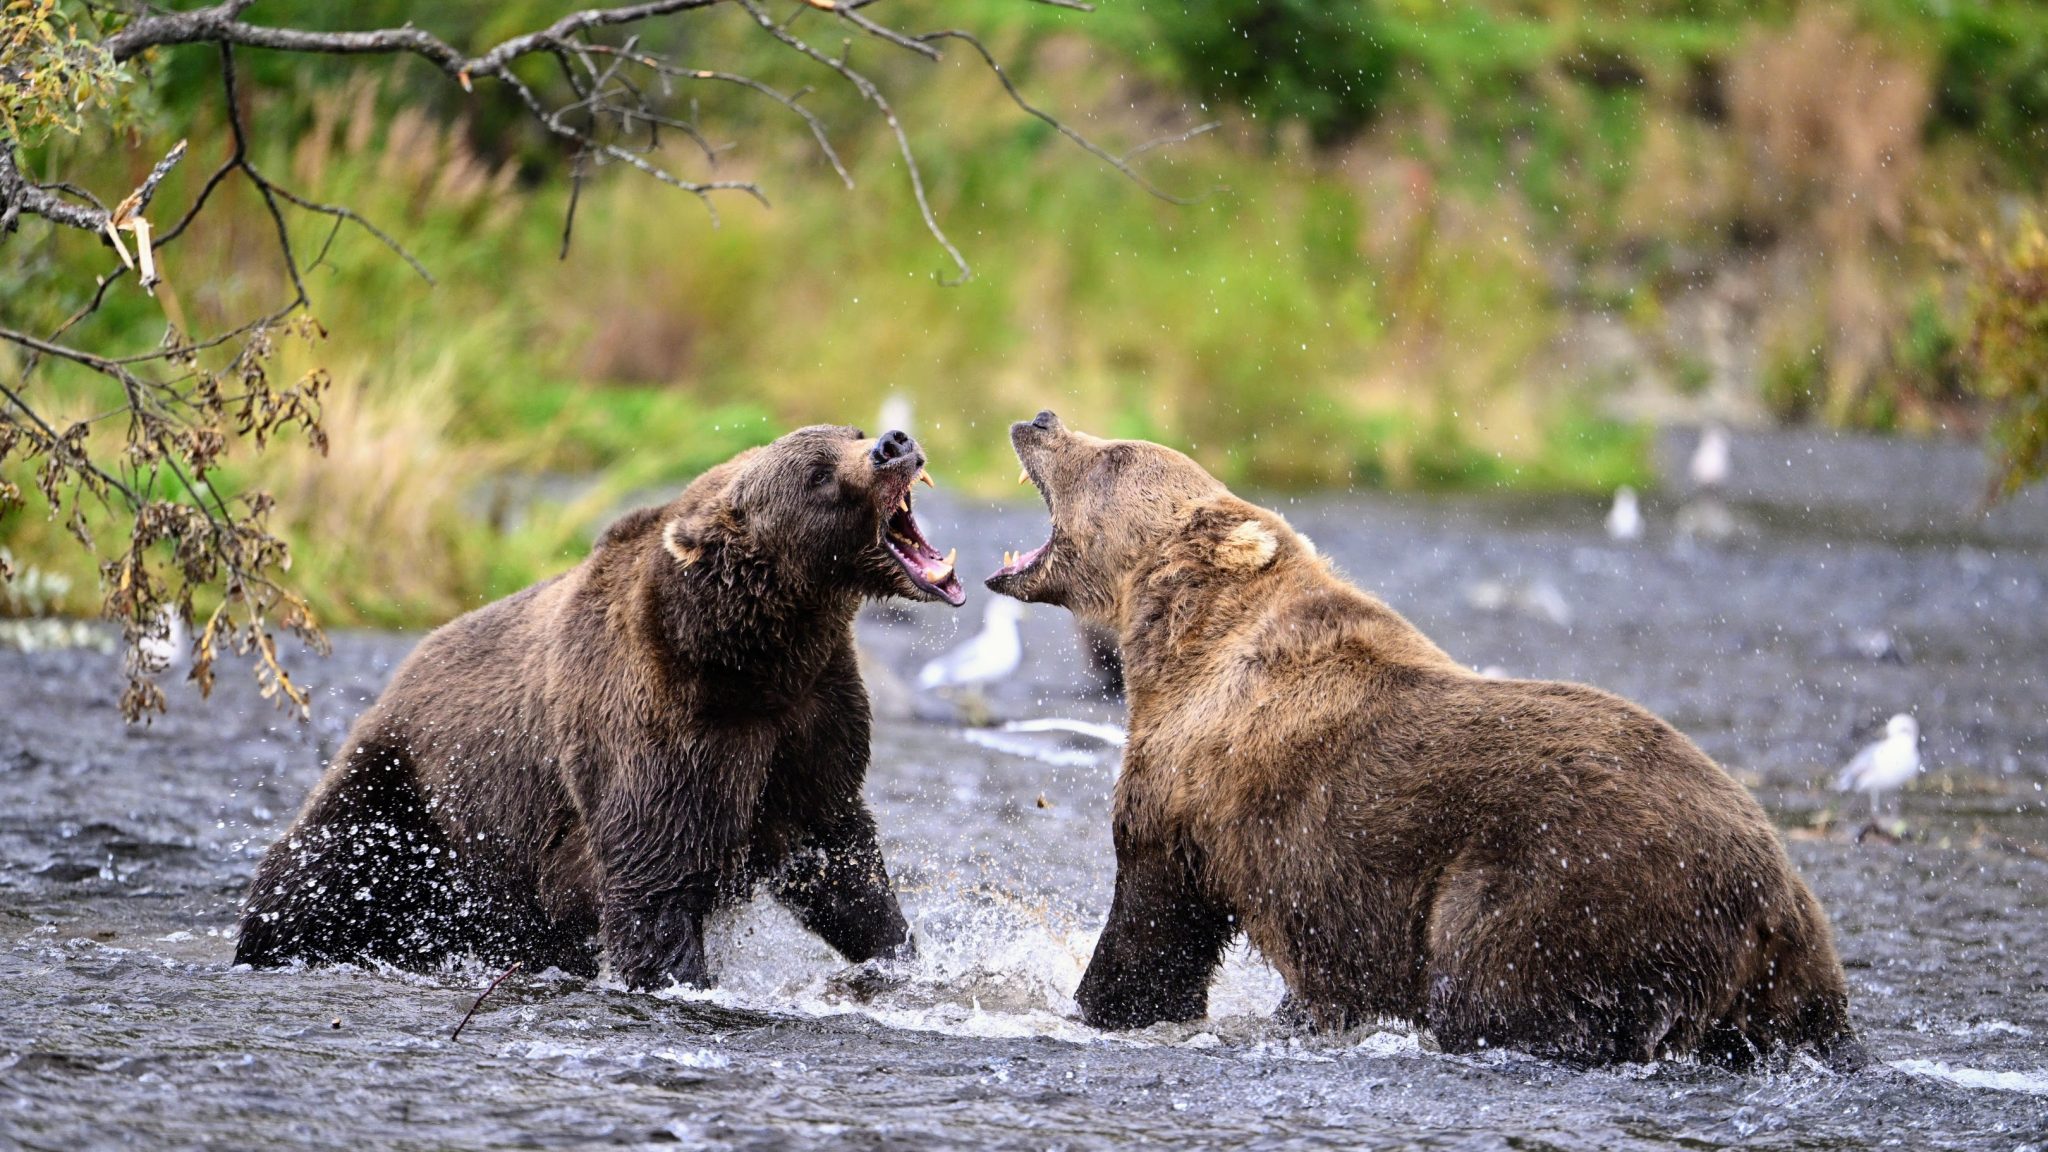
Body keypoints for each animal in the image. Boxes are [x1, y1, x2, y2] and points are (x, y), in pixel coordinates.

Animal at [235, 424, 966, 990]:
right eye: (817, 474)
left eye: (849, 431)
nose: (893, 442)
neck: (752, 660)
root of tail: (401, 668)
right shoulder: (660, 730)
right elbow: (653, 882)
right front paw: (679, 979)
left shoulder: (812, 721)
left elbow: (837, 860)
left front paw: (898, 952)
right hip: (407, 792)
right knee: (316, 871)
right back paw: (269, 944)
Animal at [986, 411, 1860, 1068]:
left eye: (1115, 455)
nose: (1040, 418)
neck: (1179, 640)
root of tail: (1771, 899)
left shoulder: (1192, 795)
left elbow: (1155, 921)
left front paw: (1098, 1007)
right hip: (1792, 980)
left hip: (1563, 884)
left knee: (1496, 986)